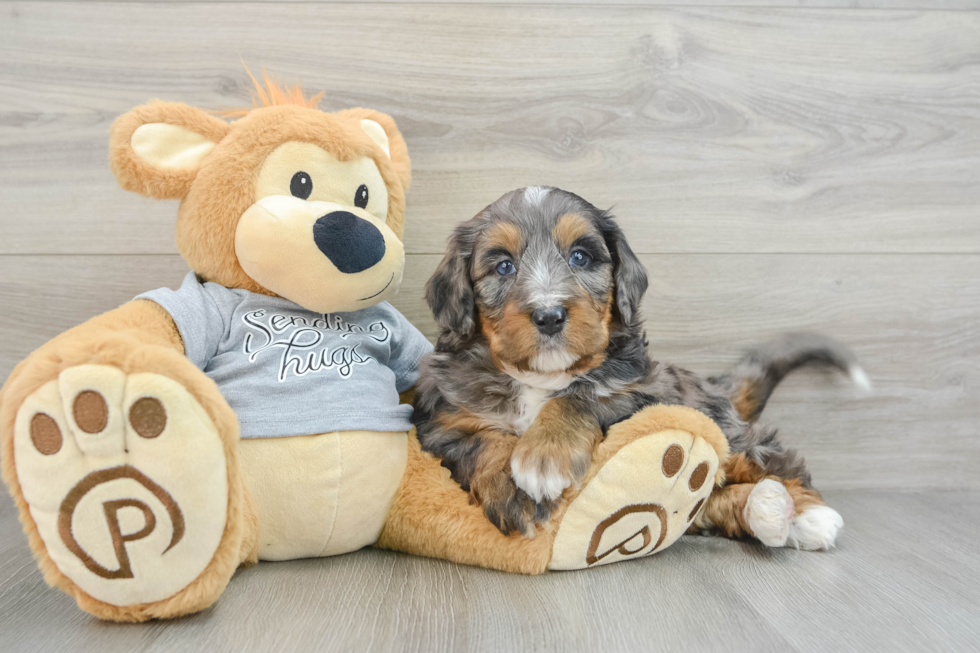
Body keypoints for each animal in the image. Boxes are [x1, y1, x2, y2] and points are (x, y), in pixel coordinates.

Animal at [414, 186, 856, 548]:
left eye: (580, 257)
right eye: (503, 265)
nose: (549, 315)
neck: (539, 377)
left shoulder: (643, 390)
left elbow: (582, 395)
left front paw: (544, 457)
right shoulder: (444, 423)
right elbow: (482, 442)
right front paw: (514, 490)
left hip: (717, 424)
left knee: (768, 457)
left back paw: (808, 515)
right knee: (708, 504)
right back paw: (765, 510)